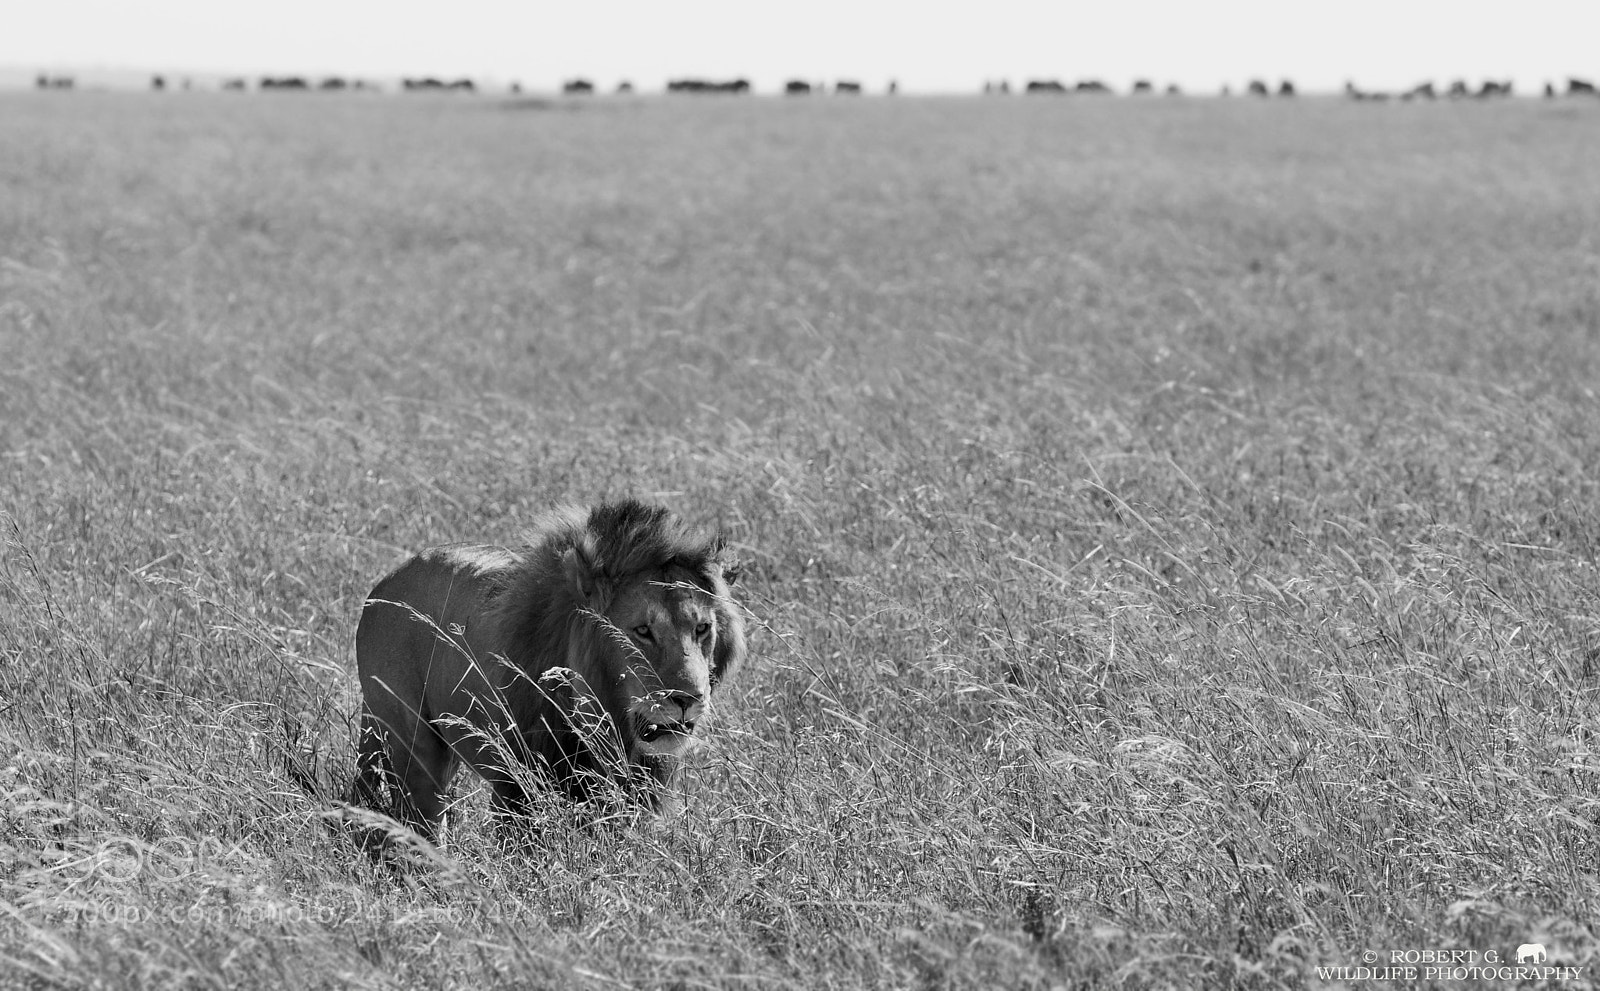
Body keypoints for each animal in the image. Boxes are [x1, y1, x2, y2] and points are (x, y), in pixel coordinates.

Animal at [350, 499, 746, 843]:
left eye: (702, 628)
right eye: (643, 630)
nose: (687, 698)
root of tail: (385, 582)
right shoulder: (517, 784)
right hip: (411, 740)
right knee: (421, 817)